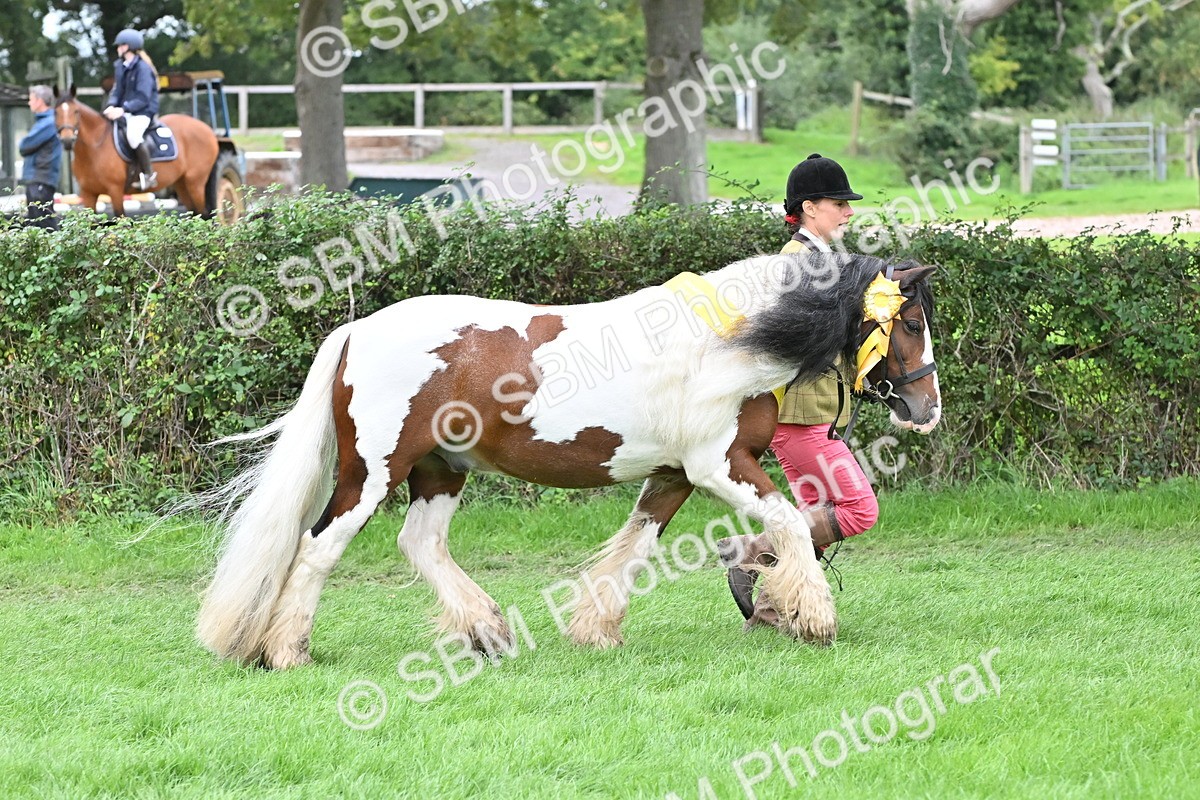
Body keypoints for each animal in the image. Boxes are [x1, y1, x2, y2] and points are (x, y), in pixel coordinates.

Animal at [54, 87, 218, 218]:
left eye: (76, 112)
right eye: (55, 112)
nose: (67, 140)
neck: (93, 150)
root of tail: (208, 130)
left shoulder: (115, 191)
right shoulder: (88, 194)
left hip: (195, 183)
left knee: (205, 215)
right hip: (182, 184)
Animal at [196, 252, 940, 669]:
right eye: (908, 323)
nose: (925, 407)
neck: (729, 341)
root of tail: (356, 330)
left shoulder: (673, 476)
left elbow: (636, 547)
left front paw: (597, 632)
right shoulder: (718, 464)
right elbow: (787, 522)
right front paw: (814, 618)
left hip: (441, 469)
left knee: (422, 543)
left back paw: (488, 631)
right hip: (372, 475)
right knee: (318, 547)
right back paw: (287, 652)